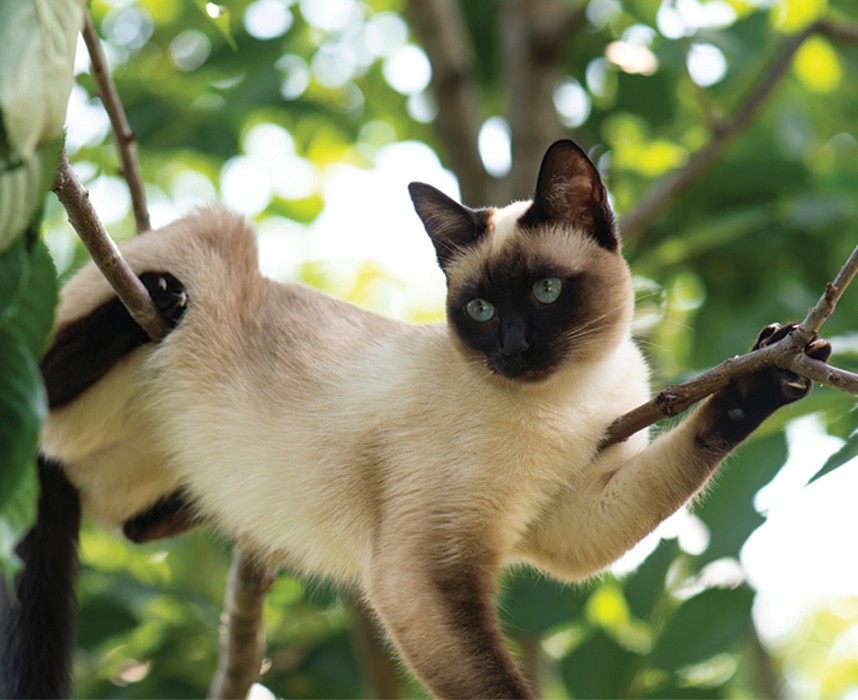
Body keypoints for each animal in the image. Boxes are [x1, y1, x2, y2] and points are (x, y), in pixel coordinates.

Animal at [0, 139, 828, 696]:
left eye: (547, 293)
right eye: (481, 309)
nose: (514, 348)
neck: (565, 401)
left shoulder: (570, 516)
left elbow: (694, 442)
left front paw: (777, 366)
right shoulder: (425, 570)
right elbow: (494, 683)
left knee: (132, 523)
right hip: (216, 241)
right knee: (42, 385)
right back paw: (160, 302)